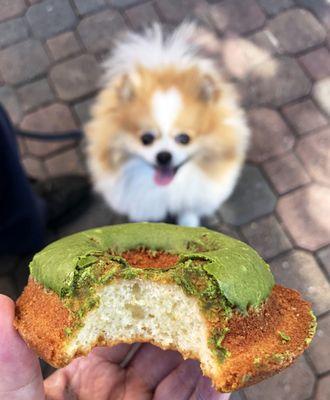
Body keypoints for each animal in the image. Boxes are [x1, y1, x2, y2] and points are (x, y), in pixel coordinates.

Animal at [85, 23, 250, 227]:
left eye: (184, 138)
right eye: (146, 138)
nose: (163, 156)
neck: (167, 189)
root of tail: (163, 63)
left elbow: (188, 210)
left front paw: (188, 223)